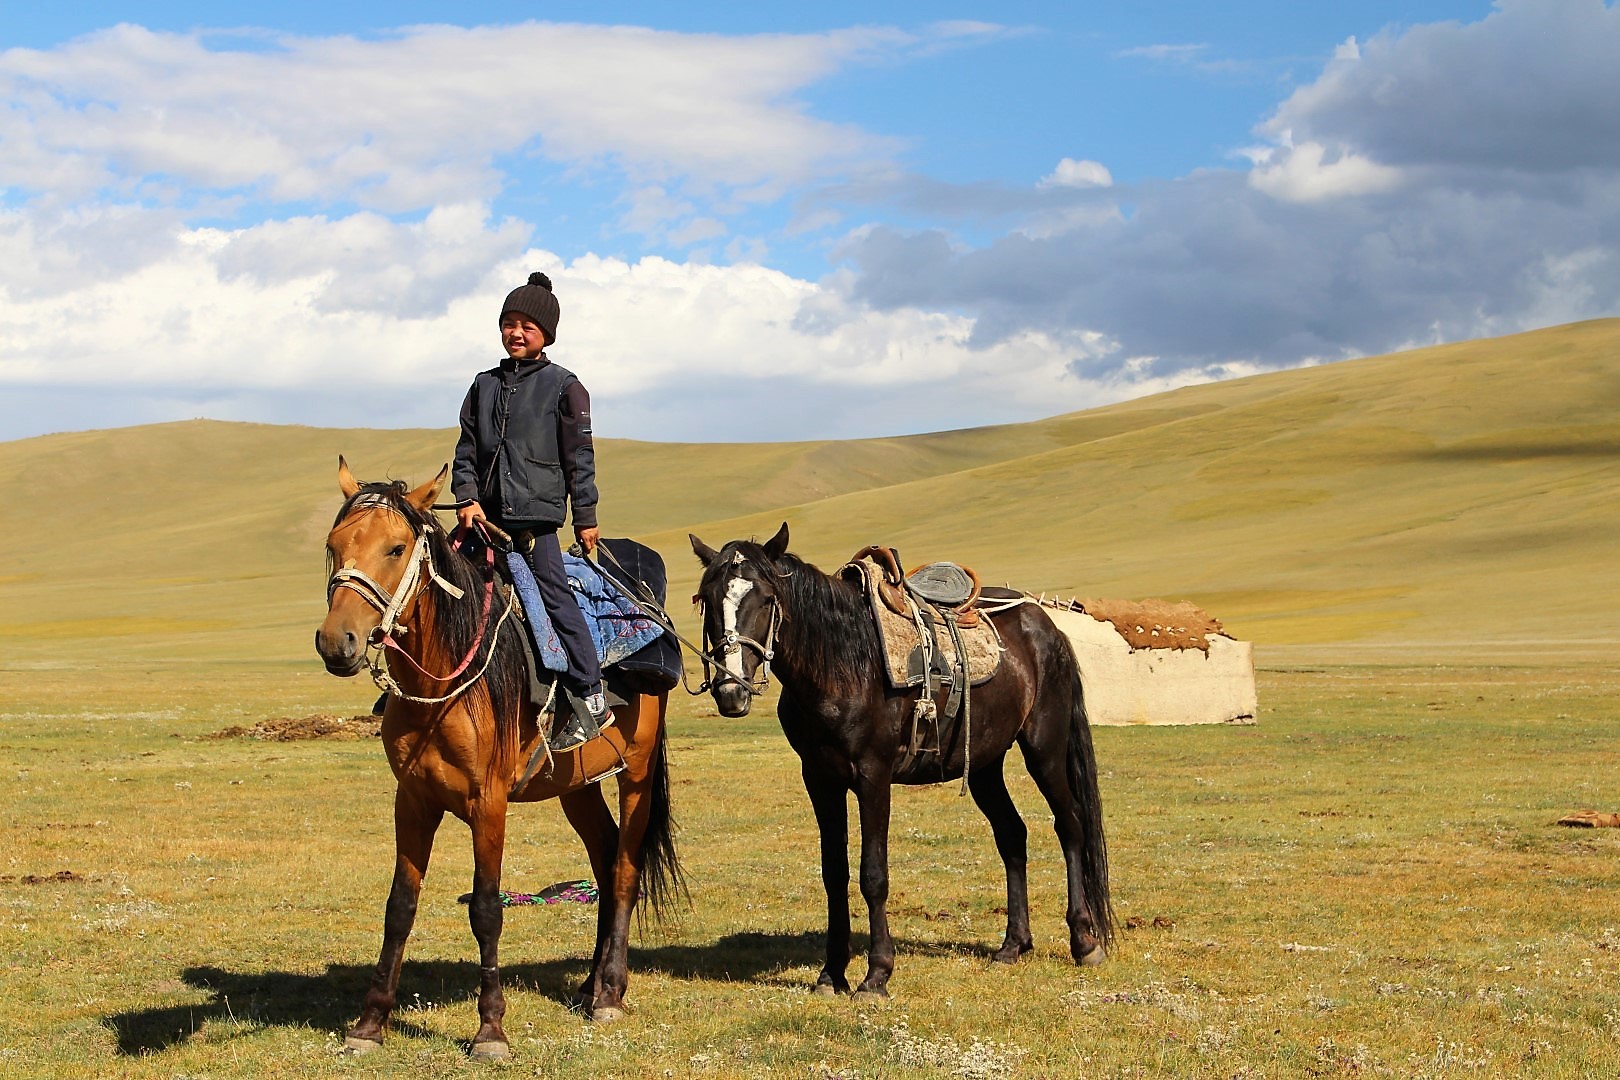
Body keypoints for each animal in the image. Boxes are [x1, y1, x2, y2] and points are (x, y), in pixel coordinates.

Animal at [315, 458, 681, 1057]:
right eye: (334, 544)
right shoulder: (412, 799)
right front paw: (369, 1024)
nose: (336, 642)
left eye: (396, 548)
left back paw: (609, 992)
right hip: (576, 783)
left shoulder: (487, 803)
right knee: (604, 861)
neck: (448, 681)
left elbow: (487, 909)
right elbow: (399, 907)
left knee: (625, 870)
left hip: (638, 771)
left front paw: (490, 1029)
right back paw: (590, 985)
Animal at [689, 523, 1111, 998]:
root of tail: (1046, 627)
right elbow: (834, 873)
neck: (841, 666)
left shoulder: (873, 776)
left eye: (765, 598)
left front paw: (876, 975)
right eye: (708, 600)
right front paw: (831, 974)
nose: (731, 691)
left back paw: (1084, 942)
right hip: (985, 764)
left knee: (1070, 825)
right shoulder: (820, 779)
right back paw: (1013, 945)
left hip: (1044, 748)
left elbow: (872, 874)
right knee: (1012, 834)